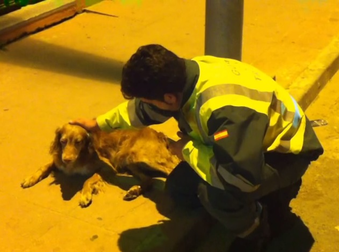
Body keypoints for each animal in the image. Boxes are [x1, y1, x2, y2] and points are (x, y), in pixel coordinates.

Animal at [21, 123, 181, 207]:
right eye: (63, 141)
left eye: (78, 142)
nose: (67, 159)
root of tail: (158, 133)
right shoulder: (58, 160)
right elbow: (44, 166)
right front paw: (30, 178)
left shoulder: (107, 166)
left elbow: (88, 179)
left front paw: (85, 195)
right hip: (129, 160)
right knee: (149, 180)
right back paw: (134, 191)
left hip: (140, 156)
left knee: (174, 167)